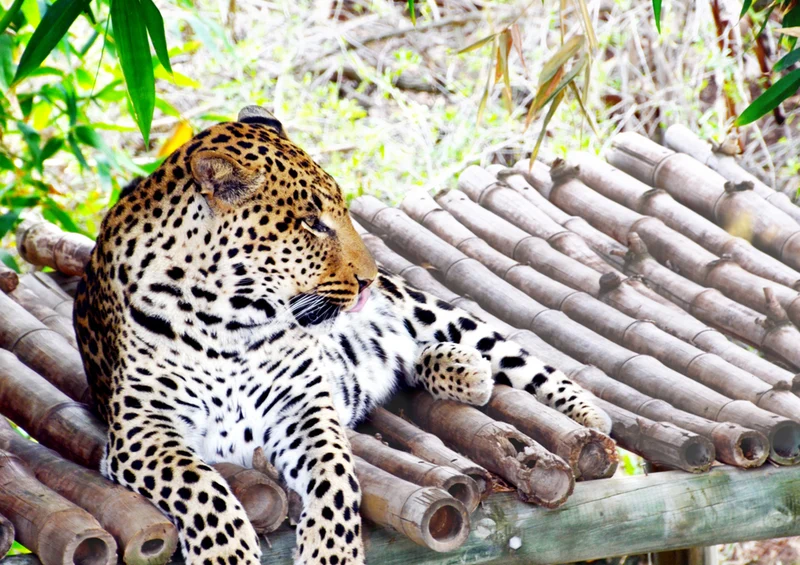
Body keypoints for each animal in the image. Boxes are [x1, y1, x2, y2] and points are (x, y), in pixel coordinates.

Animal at [74, 105, 611, 565]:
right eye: (311, 223)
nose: (369, 279)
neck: (228, 319)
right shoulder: (142, 430)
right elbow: (200, 486)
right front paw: (226, 554)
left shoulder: (303, 407)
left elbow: (335, 477)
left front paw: (331, 552)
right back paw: (461, 370)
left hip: (431, 310)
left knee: (518, 359)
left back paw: (586, 419)